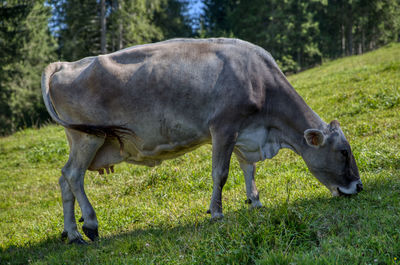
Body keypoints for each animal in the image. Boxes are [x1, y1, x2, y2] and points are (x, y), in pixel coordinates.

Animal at [40, 37, 362, 243]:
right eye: (344, 152)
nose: (358, 187)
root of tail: (64, 64)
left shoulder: (245, 132)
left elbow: (248, 168)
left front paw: (255, 201)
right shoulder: (224, 127)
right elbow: (221, 173)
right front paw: (217, 212)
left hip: (83, 140)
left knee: (63, 179)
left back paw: (71, 232)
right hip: (88, 136)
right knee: (73, 175)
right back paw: (90, 226)